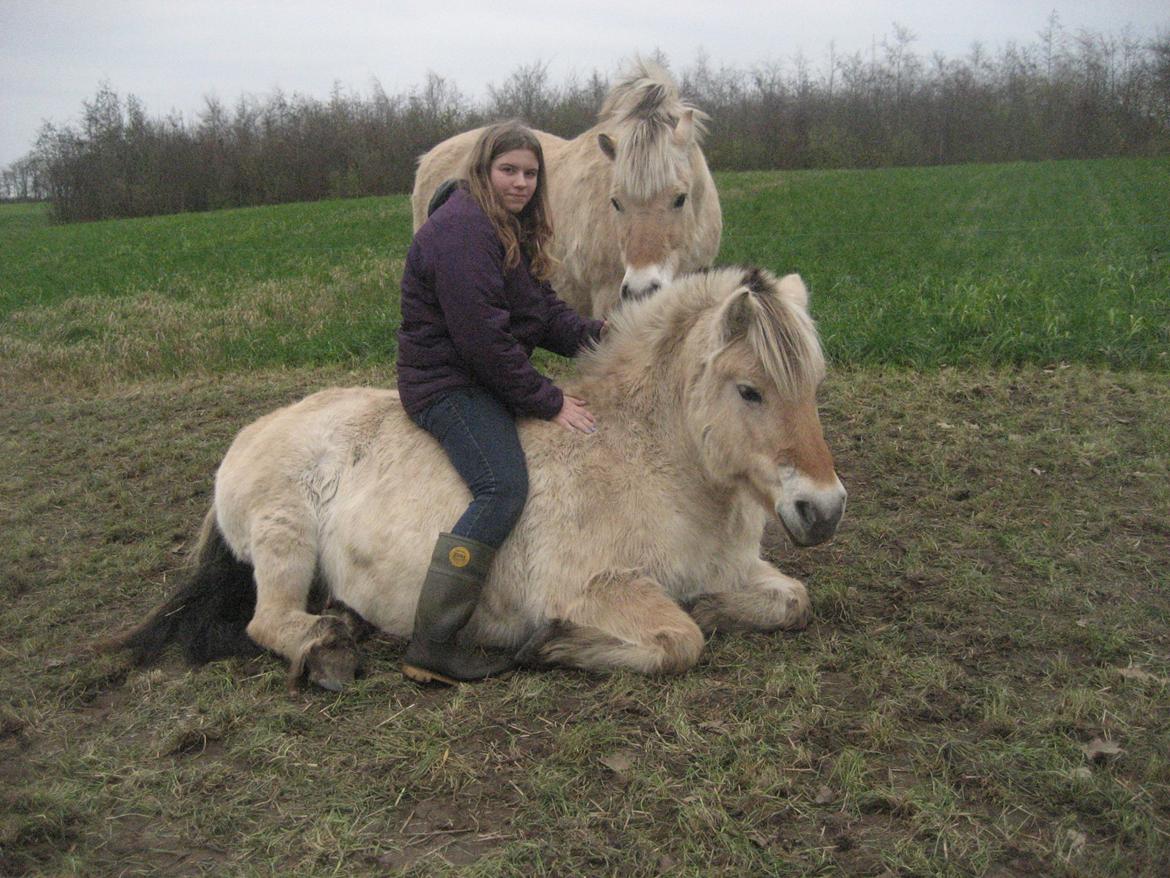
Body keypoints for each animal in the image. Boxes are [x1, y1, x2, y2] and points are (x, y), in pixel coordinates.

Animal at [123, 264, 847, 693]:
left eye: (814, 384)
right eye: (750, 391)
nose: (824, 508)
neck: (649, 459)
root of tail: (249, 435)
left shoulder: (733, 568)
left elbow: (792, 601)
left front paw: (714, 607)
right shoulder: (595, 589)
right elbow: (680, 642)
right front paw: (553, 647)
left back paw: (345, 620)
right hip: (284, 536)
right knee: (269, 622)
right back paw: (328, 650)